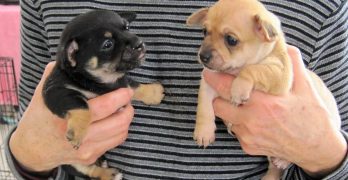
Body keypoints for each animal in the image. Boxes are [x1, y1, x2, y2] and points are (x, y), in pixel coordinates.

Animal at [42, 10, 164, 180]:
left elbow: (134, 85)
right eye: (107, 44)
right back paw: (110, 174)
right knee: (91, 171)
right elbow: (81, 105)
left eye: (127, 27)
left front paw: (153, 92)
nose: (139, 43)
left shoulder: (121, 84)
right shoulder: (56, 92)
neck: (104, 81)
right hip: (73, 163)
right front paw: (78, 131)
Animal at [186, 0, 342, 179]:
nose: (203, 56)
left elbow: (253, 69)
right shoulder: (207, 83)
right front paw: (203, 131)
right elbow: (204, 107)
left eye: (231, 40)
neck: (234, 71)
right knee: (274, 168)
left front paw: (239, 88)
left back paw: (282, 160)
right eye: (204, 32)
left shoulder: (279, 74)